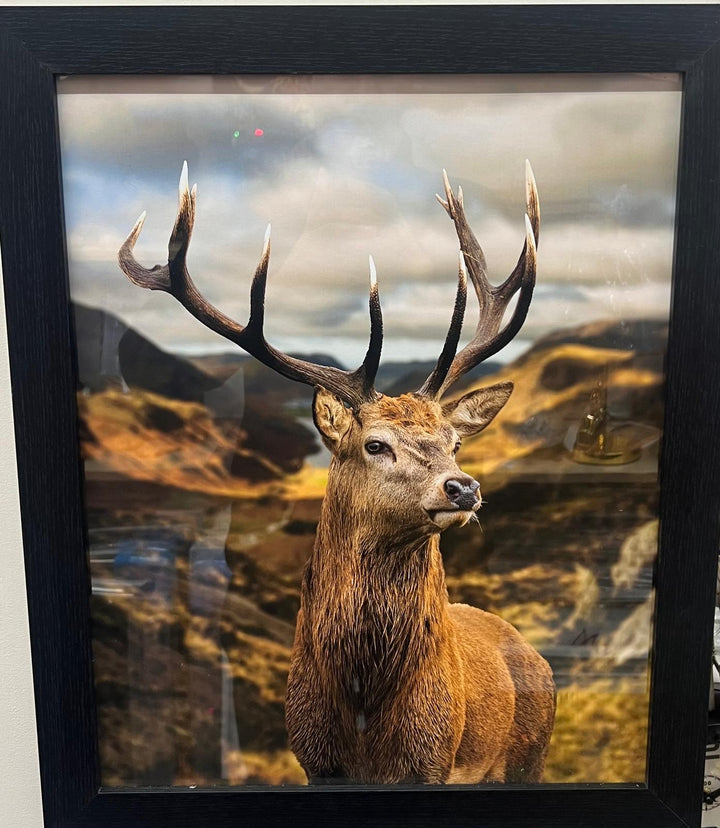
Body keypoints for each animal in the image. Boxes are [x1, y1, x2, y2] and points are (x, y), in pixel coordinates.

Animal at [118, 160, 556, 785]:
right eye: (375, 444)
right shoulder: (313, 759)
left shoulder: (433, 763)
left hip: (529, 756)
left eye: (454, 443)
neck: (365, 723)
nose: (463, 487)